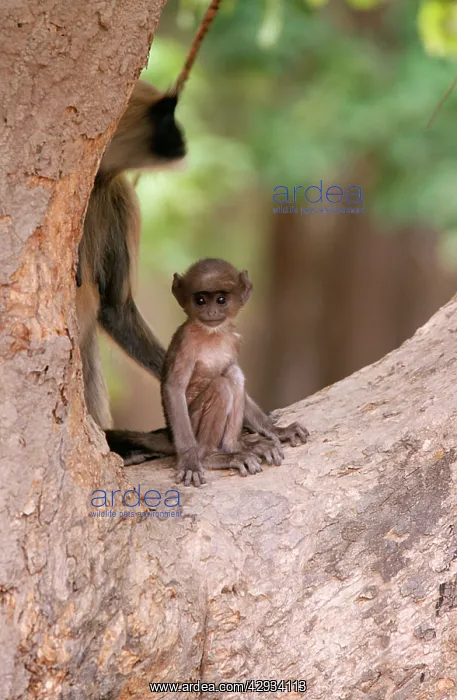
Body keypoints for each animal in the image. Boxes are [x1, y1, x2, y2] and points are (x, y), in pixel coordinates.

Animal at [160, 258, 309, 487]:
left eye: (221, 300)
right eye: (200, 300)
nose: (211, 312)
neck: (211, 334)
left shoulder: (233, 339)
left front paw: (277, 430)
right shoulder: (187, 340)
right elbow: (174, 388)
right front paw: (190, 461)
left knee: (233, 373)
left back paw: (236, 447)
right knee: (221, 385)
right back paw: (211, 456)